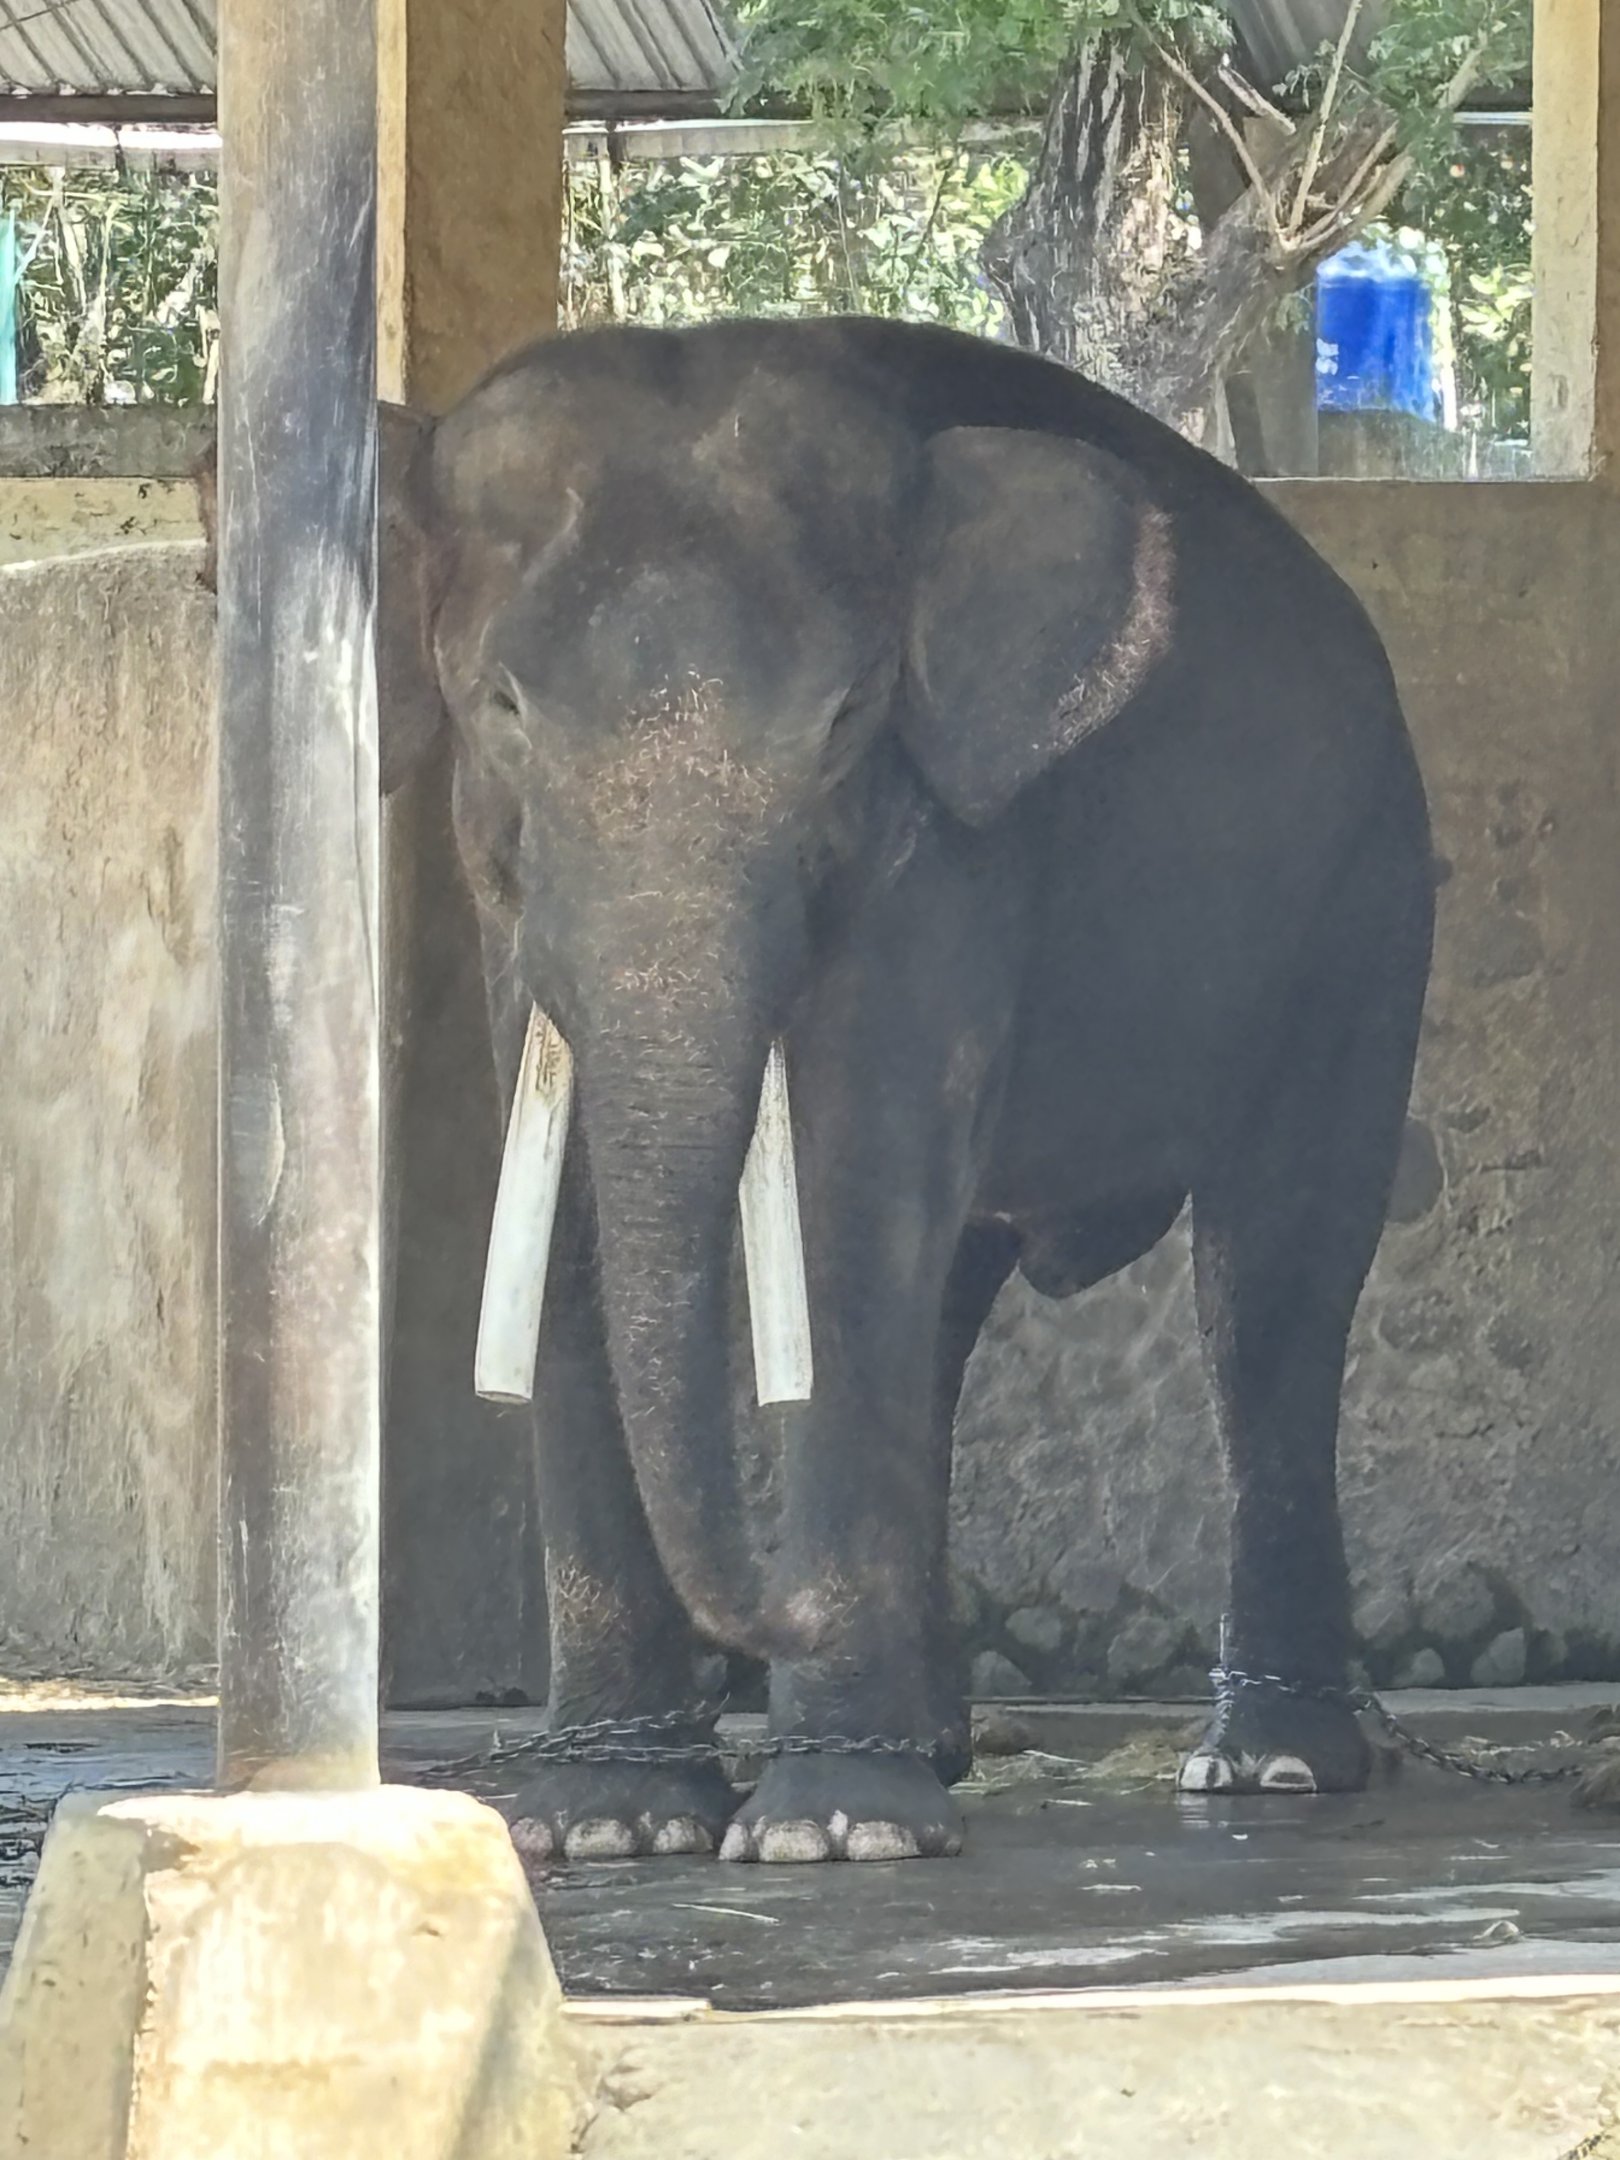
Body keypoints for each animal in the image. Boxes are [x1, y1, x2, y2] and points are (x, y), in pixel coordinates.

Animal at [204, 315, 1434, 1862]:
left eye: (847, 718)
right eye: (503, 708)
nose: (765, 1626)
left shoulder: (945, 848)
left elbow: (855, 1199)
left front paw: (829, 1831)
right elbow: (577, 1223)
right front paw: (607, 1829)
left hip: (1364, 903)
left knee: (1269, 1279)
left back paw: (1264, 1765)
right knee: (961, 1304)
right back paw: (945, 1743)